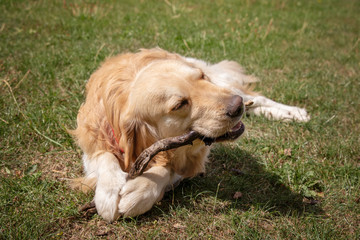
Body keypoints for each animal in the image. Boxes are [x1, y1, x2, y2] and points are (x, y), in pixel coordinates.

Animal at [71, 47, 310, 222]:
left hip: (227, 86)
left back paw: (293, 113)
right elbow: (104, 155)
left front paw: (139, 193)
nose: (236, 106)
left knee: (256, 97)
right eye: (180, 104)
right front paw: (108, 192)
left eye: (201, 77)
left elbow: (168, 170)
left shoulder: (191, 157)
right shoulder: (94, 139)